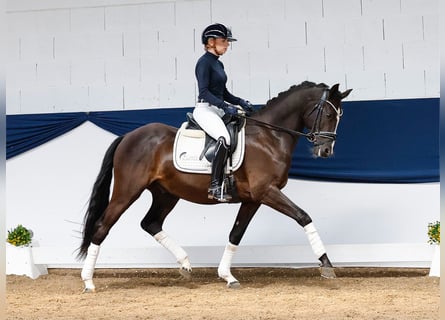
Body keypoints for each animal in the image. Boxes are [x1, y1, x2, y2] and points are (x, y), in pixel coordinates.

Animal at [79, 81, 350, 292]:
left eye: (339, 117)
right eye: (328, 115)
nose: (326, 151)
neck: (270, 137)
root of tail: (128, 136)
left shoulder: (253, 199)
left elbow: (235, 234)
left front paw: (227, 276)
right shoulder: (266, 191)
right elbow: (303, 216)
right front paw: (326, 265)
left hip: (166, 194)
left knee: (150, 223)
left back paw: (185, 264)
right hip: (127, 192)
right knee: (102, 227)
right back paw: (88, 282)